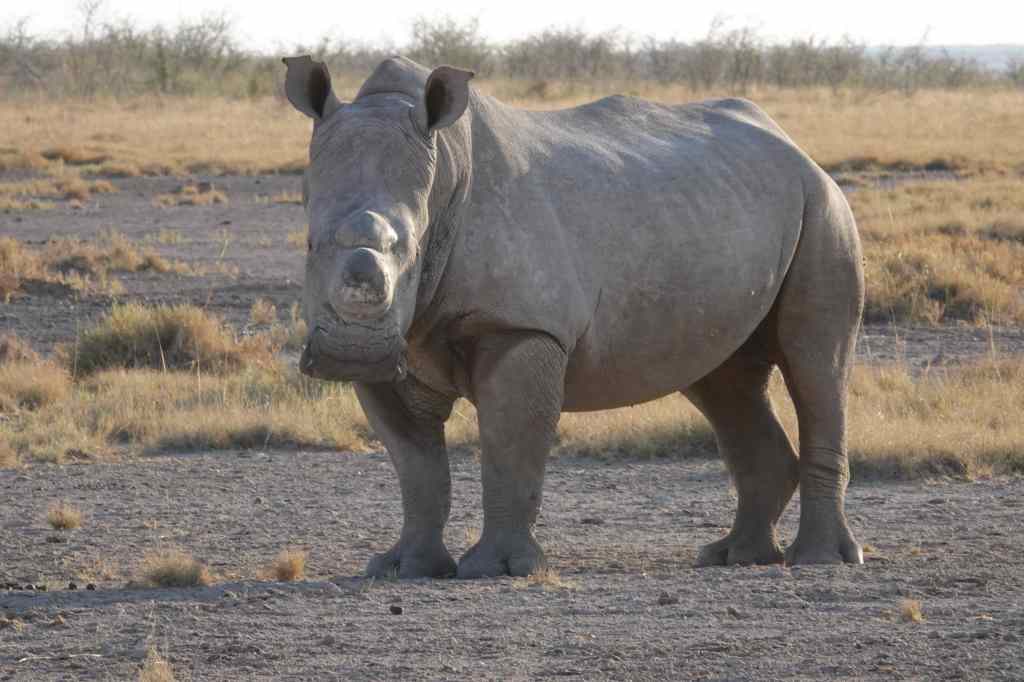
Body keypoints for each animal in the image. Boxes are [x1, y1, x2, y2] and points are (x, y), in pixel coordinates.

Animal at [282, 55, 865, 578]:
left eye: (410, 252)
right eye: (308, 245)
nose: (351, 354)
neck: (443, 170)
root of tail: (795, 146)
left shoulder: (521, 326)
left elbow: (510, 446)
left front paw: (497, 569)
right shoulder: (402, 344)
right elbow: (416, 465)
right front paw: (403, 568)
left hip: (823, 205)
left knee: (815, 365)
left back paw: (819, 560)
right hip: (725, 212)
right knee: (724, 379)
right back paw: (734, 556)